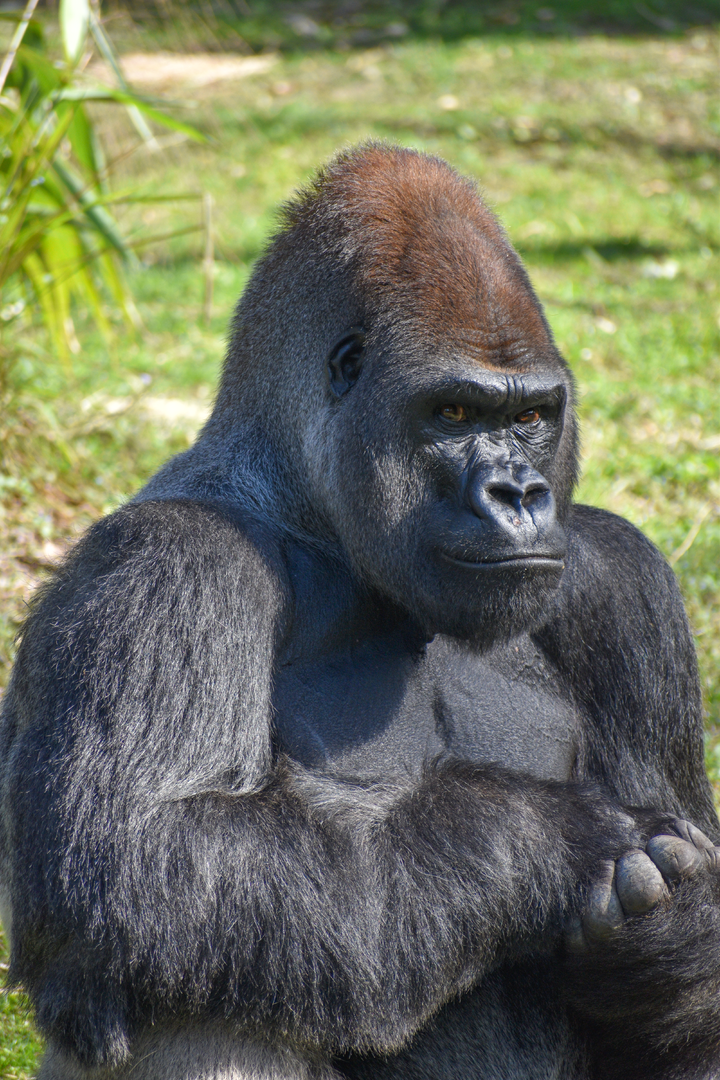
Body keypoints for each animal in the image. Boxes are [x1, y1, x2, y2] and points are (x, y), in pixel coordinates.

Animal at [2, 144, 719, 1080]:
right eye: (454, 413)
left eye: (531, 416)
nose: (520, 494)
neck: (311, 513)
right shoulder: (165, 568)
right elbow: (132, 859)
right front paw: (552, 839)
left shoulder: (624, 580)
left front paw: (668, 942)